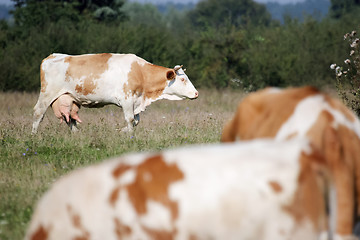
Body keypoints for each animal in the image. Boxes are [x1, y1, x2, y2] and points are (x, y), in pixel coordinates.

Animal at [32, 52, 198, 134]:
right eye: (183, 79)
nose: (196, 93)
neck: (140, 72)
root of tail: (51, 56)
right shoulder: (127, 99)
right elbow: (130, 120)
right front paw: (128, 134)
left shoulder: (135, 101)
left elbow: (136, 121)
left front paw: (122, 130)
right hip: (46, 94)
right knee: (38, 113)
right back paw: (34, 136)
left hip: (69, 98)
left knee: (69, 117)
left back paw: (77, 134)